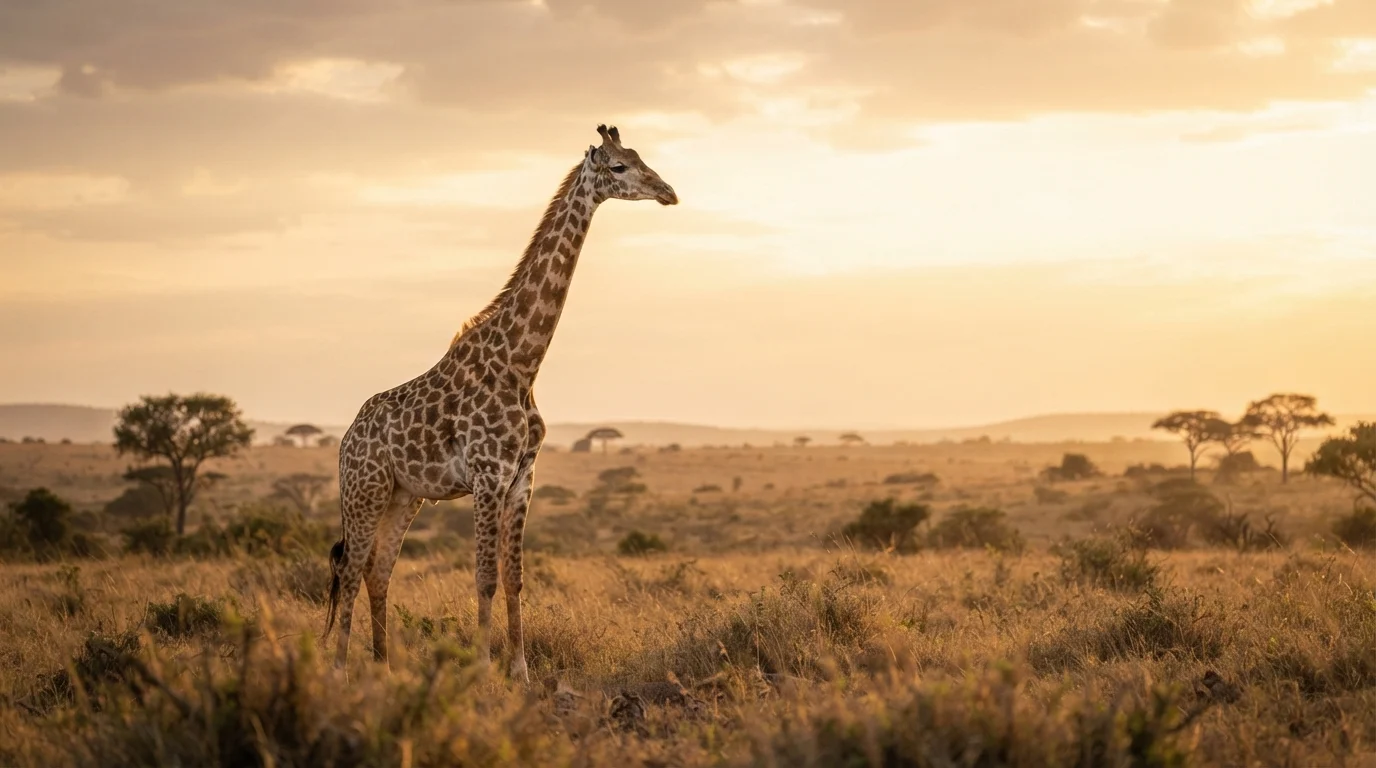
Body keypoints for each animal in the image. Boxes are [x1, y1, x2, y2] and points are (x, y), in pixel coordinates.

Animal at [324, 124, 677, 682]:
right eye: (619, 166)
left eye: (641, 157)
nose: (668, 192)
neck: (522, 363)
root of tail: (344, 441)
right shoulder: (488, 476)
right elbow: (485, 577)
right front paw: (483, 669)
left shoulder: (522, 478)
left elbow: (515, 579)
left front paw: (521, 670)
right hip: (365, 491)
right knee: (352, 567)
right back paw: (340, 669)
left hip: (405, 495)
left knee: (379, 571)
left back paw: (384, 667)